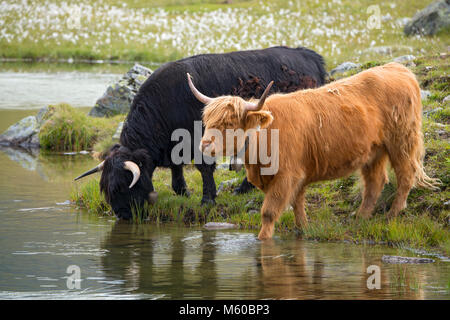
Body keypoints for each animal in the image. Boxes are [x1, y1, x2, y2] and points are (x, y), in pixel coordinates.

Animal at [186, 61, 440, 239]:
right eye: (207, 120)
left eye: (229, 123)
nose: (204, 144)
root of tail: (398, 69)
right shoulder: (297, 176)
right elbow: (297, 206)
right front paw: (303, 229)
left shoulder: (286, 176)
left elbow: (269, 212)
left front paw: (263, 240)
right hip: (373, 152)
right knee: (375, 183)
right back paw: (360, 218)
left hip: (401, 141)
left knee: (406, 176)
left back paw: (391, 215)